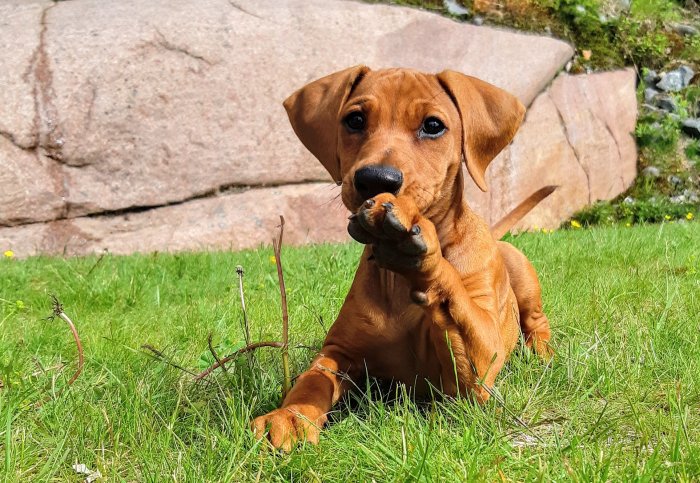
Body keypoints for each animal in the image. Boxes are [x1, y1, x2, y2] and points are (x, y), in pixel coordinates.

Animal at [252, 66, 552, 452]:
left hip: (521, 271)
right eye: (354, 120)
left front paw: (415, 249)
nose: (375, 179)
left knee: (536, 320)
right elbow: (312, 380)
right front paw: (290, 415)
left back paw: (542, 353)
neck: (398, 285)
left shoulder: (475, 377)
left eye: (433, 126)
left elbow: (456, 301)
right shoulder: (337, 351)